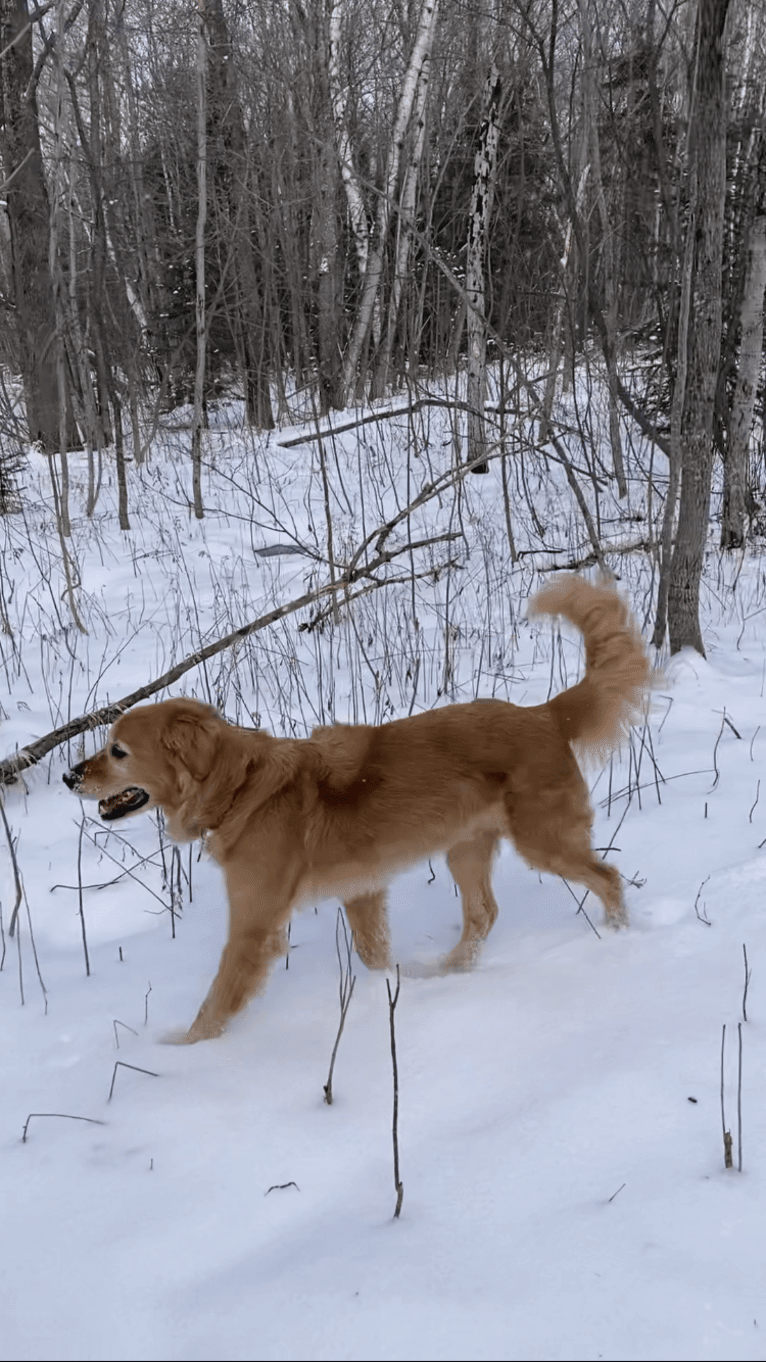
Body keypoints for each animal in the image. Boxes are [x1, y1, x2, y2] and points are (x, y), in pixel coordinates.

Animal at [65, 577, 646, 1040]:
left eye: (118, 751)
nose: (70, 776)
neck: (241, 787)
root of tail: (544, 713)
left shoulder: (255, 924)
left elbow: (217, 1001)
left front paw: (180, 1054)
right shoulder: (361, 888)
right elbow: (373, 953)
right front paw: (392, 987)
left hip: (543, 839)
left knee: (608, 877)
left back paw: (620, 935)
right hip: (465, 848)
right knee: (484, 912)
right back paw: (450, 971)